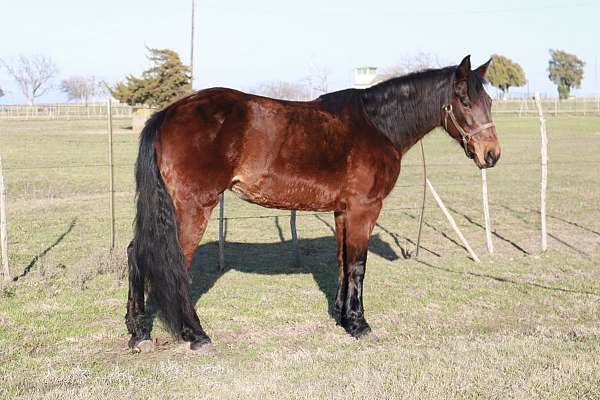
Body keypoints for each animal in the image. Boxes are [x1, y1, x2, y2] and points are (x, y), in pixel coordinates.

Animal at [124, 55, 500, 350]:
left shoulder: (343, 211)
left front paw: (342, 317)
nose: (491, 154)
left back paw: (138, 333)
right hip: (193, 207)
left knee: (137, 253)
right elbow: (358, 265)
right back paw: (196, 335)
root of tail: (167, 114)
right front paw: (360, 325)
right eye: (465, 102)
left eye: (490, 102)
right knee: (174, 262)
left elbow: (342, 261)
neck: (377, 125)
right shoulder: (365, 208)